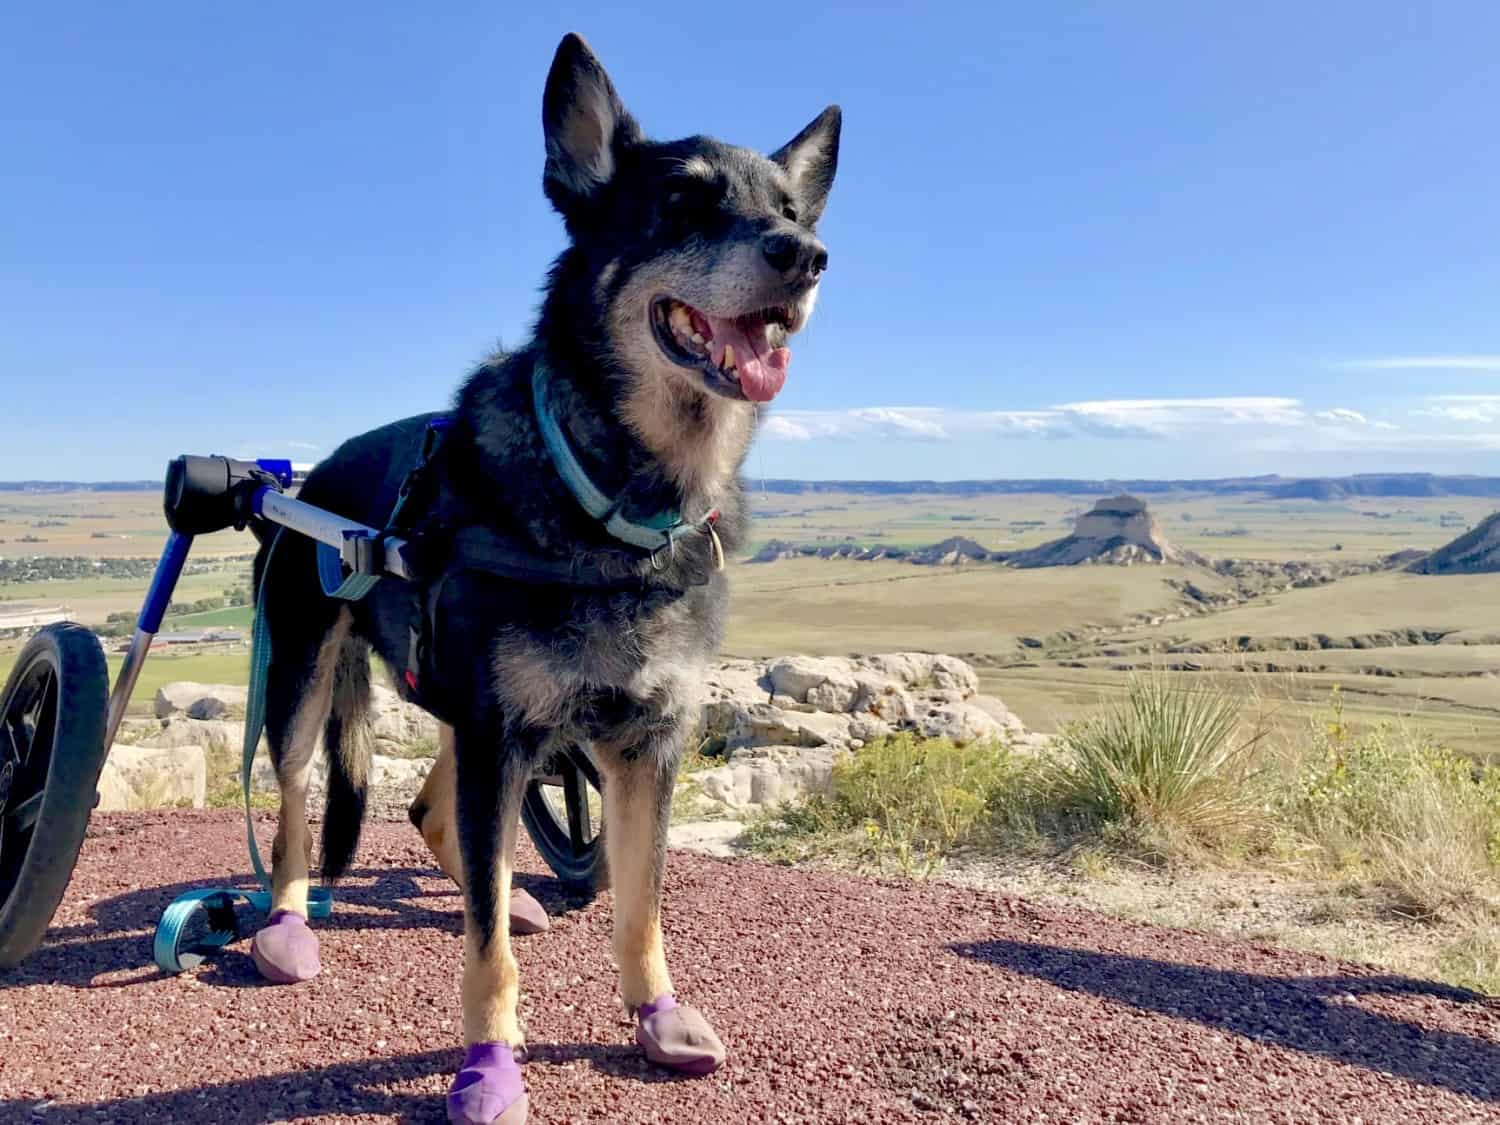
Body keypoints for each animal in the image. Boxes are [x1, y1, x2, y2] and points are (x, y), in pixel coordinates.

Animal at [240, 30, 840, 1122]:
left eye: (791, 211)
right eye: (683, 202)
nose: (807, 258)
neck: (617, 498)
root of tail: (313, 472)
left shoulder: (637, 747)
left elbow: (639, 906)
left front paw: (656, 1016)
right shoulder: (503, 733)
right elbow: (482, 958)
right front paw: (488, 1065)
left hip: (467, 706)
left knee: (436, 813)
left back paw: (510, 893)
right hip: (308, 685)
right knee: (301, 812)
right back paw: (287, 924)